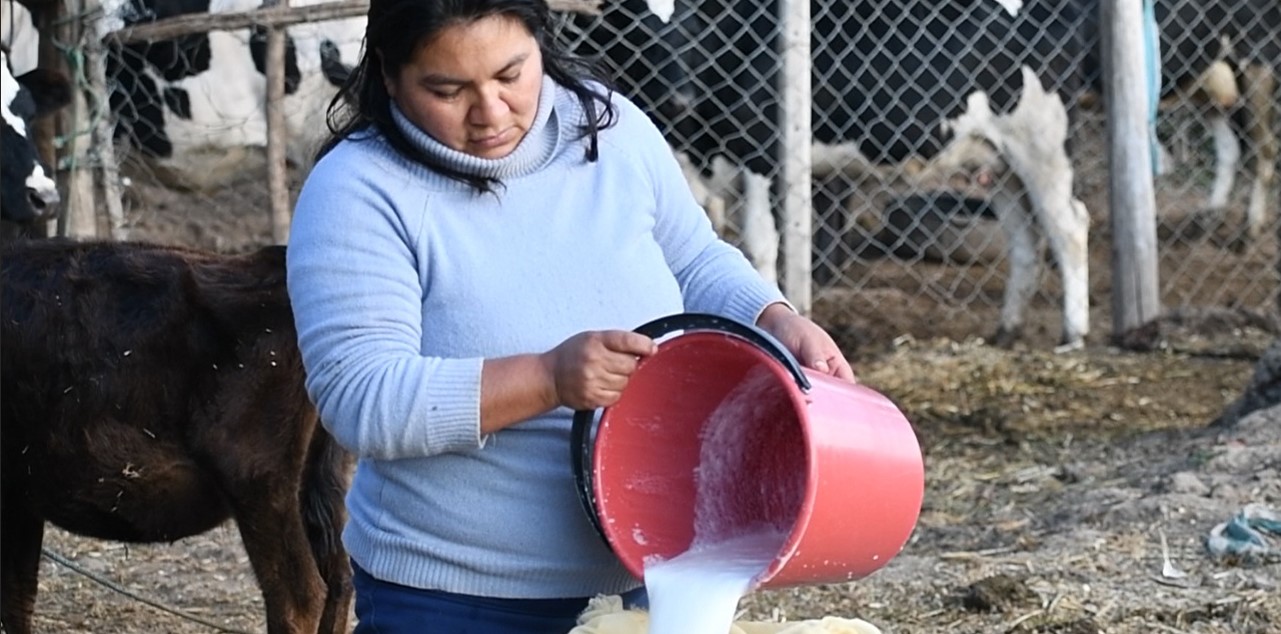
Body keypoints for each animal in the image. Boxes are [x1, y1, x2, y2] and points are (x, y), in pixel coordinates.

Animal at [1, 239, 350, 634]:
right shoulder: (21, 498)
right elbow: (18, 597)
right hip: (323, 484)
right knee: (340, 581)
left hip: (260, 483)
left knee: (299, 598)